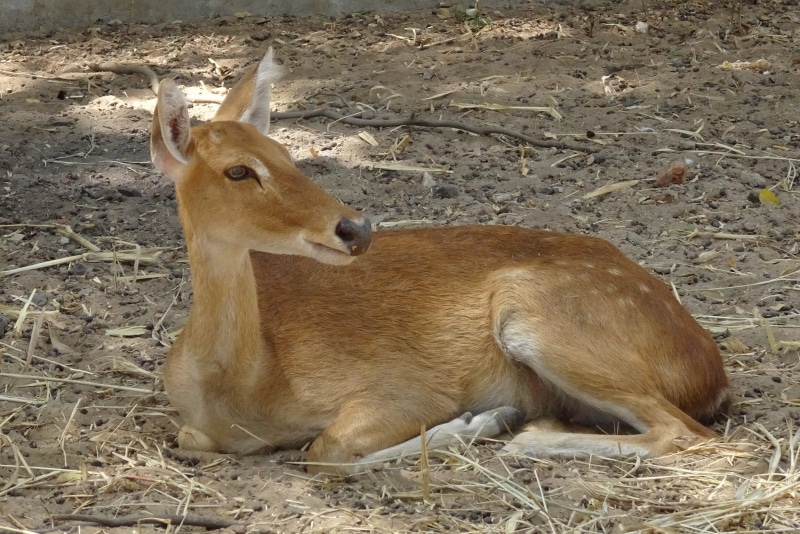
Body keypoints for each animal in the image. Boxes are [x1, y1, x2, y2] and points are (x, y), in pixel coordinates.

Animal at [150, 48, 731, 475]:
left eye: (287, 155)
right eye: (238, 170)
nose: (355, 227)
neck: (246, 387)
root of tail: (712, 372)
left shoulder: (403, 386)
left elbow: (326, 451)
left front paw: (478, 422)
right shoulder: (193, 426)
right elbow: (193, 438)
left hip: (540, 320)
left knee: (686, 432)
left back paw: (524, 435)